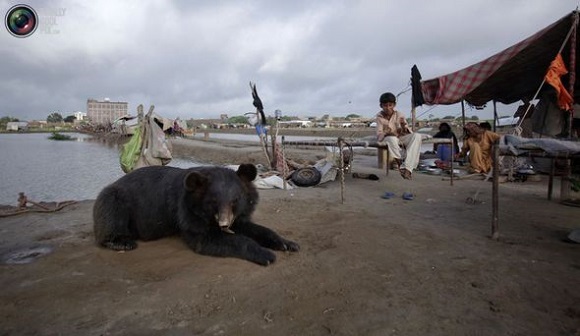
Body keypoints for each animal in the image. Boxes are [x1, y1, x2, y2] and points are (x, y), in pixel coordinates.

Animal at [92, 164, 300, 266]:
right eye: (213, 202)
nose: (224, 225)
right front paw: (266, 254)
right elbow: (206, 238)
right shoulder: (186, 211)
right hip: (114, 199)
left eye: (235, 200)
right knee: (112, 216)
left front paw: (288, 244)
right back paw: (122, 242)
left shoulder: (238, 214)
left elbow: (252, 227)